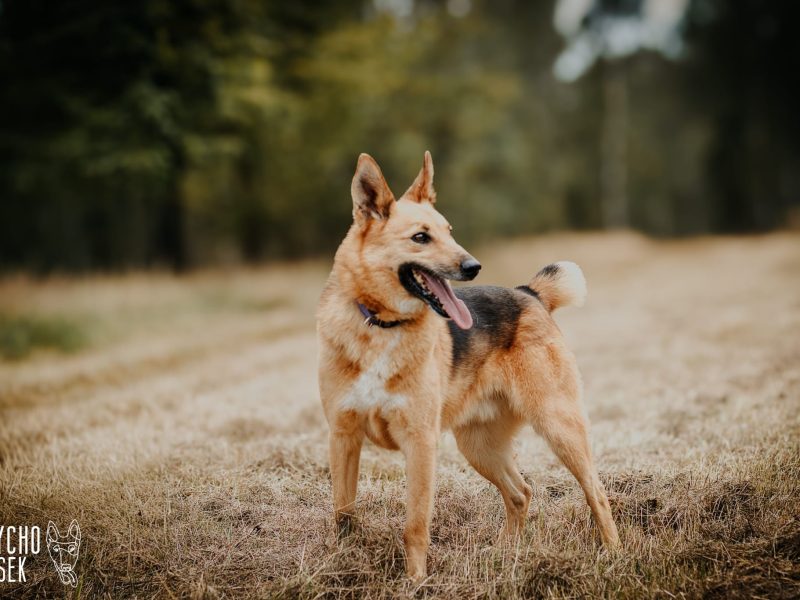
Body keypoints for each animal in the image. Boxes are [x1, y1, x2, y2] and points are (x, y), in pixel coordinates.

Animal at [317, 151, 619, 579]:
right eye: (421, 237)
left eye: (449, 231)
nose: (474, 266)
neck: (381, 325)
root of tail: (529, 293)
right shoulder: (343, 437)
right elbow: (343, 513)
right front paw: (341, 564)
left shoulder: (420, 444)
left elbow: (415, 525)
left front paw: (415, 582)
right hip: (478, 445)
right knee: (521, 492)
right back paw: (504, 555)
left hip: (559, 426)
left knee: (596, 492)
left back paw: (614, 554)